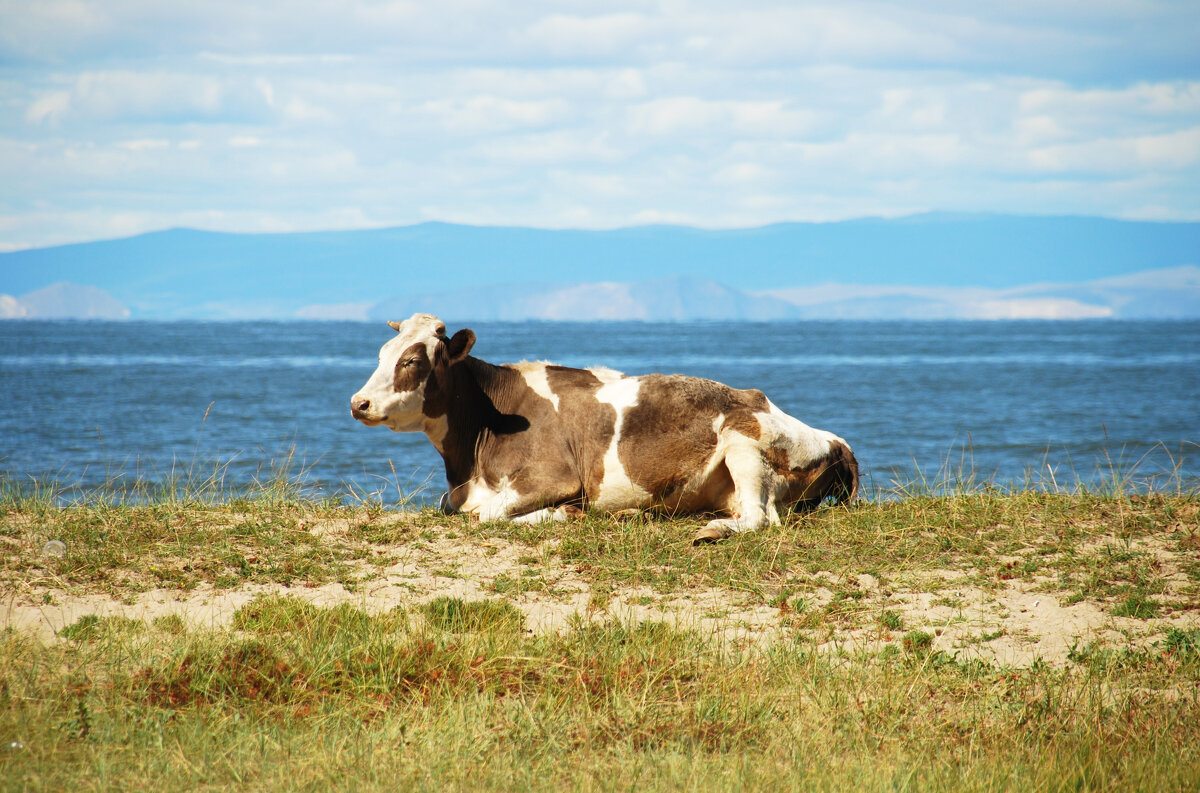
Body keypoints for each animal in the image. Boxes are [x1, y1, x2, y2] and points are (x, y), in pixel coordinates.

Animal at [350, 311, 859, 542]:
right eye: (380, 354)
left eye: (412, 360)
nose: (359, 402)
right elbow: (455, 508)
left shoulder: (553, 477)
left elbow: (488, 515)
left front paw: (565, 514)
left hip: (743, 437)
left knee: (759, 518)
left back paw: (711, 530)